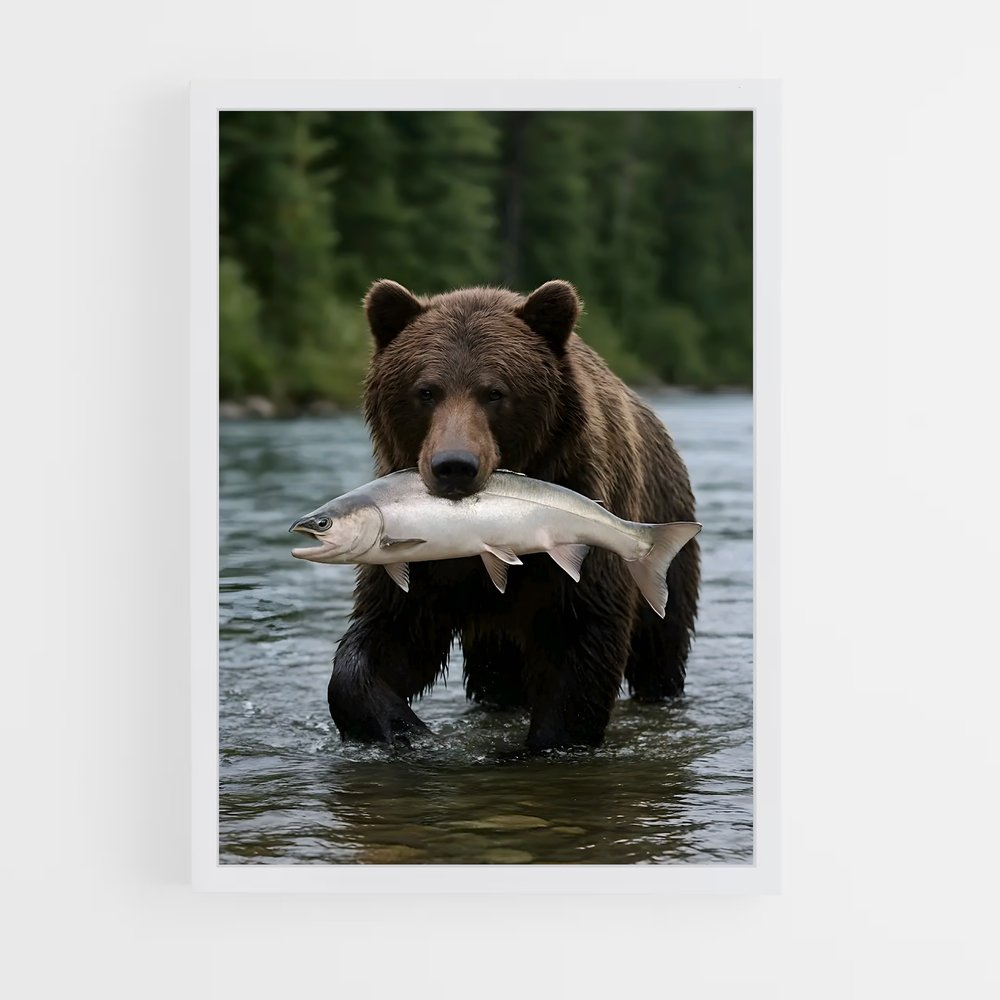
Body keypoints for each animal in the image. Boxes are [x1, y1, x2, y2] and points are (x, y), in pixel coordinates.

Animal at [326, 278, 700, 751]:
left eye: (495, 392)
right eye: (426, 391)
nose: (454, 465)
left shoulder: (582, 517)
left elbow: (579, 639)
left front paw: (547, 742)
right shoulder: (423, 564)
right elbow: (389, 633)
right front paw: (400, 724)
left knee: (660, 645)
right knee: (495, 674)